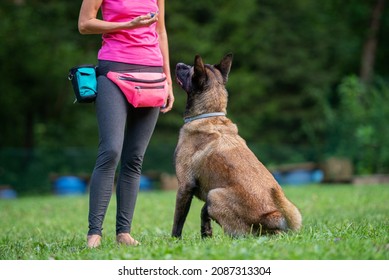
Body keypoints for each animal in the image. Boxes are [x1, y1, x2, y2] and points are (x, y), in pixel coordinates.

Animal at [171, 53, 302, 237]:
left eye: (190, 70)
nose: (179, 64)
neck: (209, 115)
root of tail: (272, 216)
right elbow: (203, 213)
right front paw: (206, 233)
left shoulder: (184, 187)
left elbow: (178, 222)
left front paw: (174, 240)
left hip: (214, 195)